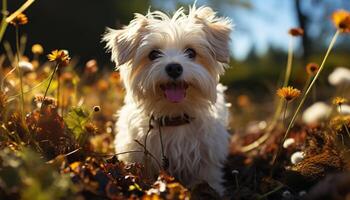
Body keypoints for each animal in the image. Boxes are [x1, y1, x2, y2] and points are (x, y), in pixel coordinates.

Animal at [104, 5, 235, 195]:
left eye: (191, 52)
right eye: (153, 54)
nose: (174, 67)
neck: (174, 115)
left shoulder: (207, 157)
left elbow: (207, 177)